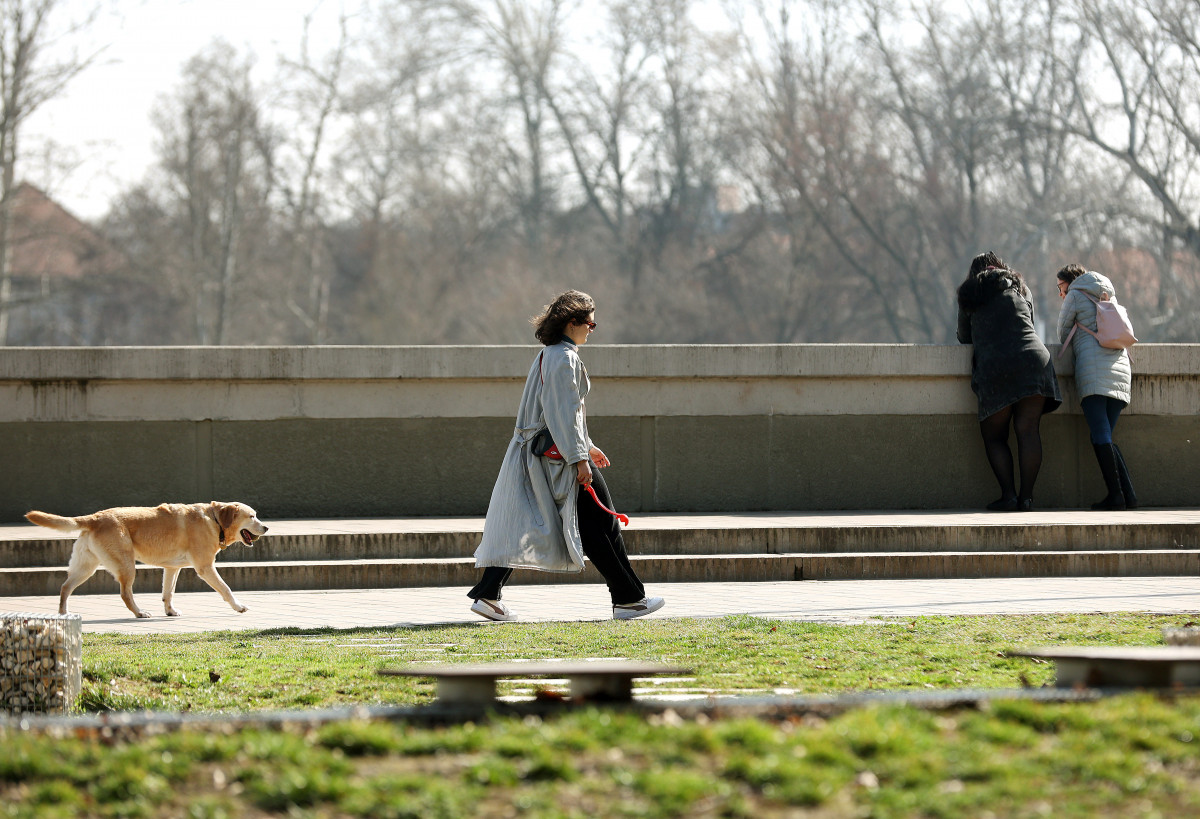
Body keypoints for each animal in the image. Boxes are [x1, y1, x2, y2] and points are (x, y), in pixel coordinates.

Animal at [24, 501, 270, 614]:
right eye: (252, 516)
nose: (267, 527)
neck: (215, 519)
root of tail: (95, 517)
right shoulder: (205, 567)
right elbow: (226, 589)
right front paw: (238, 606)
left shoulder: (172, 568)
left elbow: (168, 592)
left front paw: (170, 611)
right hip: (126, 565)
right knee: (125, 593)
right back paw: (139, 613)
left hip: (86, 567)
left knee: (65, 587)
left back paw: (63, 614)